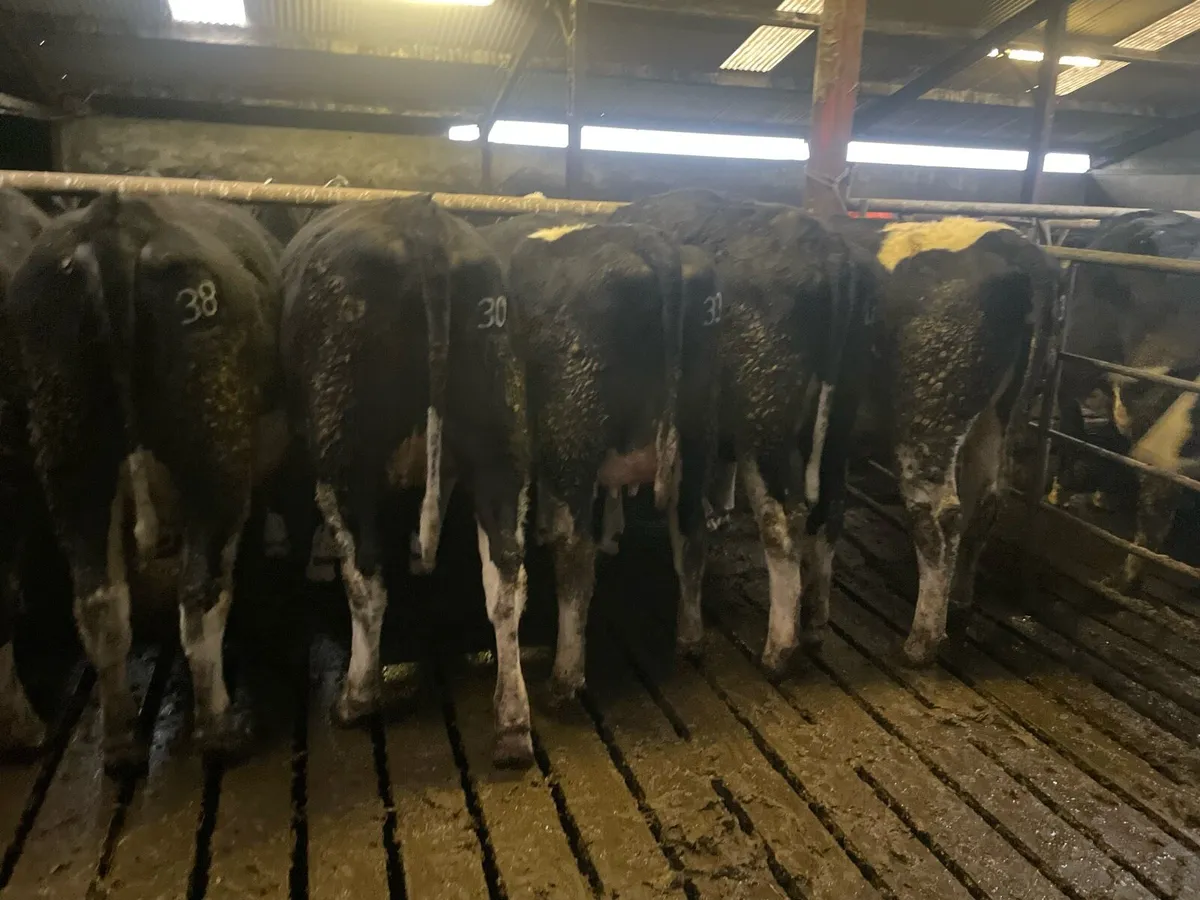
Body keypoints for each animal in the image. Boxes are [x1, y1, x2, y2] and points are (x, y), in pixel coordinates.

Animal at [6, 193, 288, 771]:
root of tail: (118, 219)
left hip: (70, 447)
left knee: (100, 600)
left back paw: (111, 737)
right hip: (212, 449)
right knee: (194, 594)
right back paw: (216, 729)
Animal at [280, 195, 534, 767]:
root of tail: (423, 218)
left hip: (345, 450)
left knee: (366, 577)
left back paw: (356, 698)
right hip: (500, 441)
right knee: (506, 577)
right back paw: (513, 725)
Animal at [478, 213, 721, 698]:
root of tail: (648, 242)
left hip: (571, 433)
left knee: (576, 554)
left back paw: (565, 676)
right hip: (694, 437)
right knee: (691, 536)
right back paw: (690, 638)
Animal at [612, 189, 877, 675]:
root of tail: (830, 253)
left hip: (764, 419)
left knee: (781, 527)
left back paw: (777, 651)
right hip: (838, 421)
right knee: (829, 515)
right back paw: (815, 627)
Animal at [829, 216, 1058, 664]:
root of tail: (1013, 245)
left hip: (929, 408)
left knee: (938, 516)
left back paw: (922, 641)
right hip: (998, 412)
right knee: (986, 500)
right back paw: (961, 601)